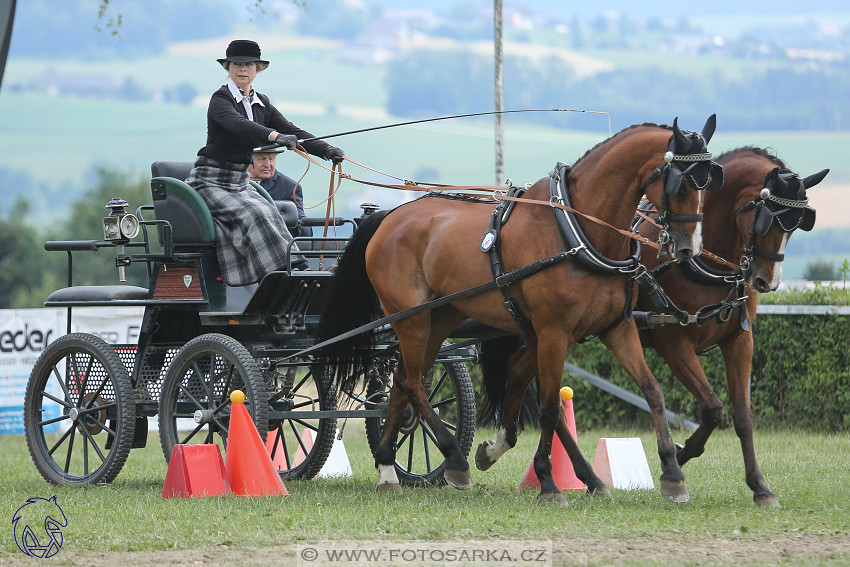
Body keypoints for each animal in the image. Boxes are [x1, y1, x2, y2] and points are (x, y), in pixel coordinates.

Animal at [318, 116, 724, 506]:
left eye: (709, 184)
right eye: (680, 185)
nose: (689, 249)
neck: (578, 231)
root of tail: (388, 216)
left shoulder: (615, 328)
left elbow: (652, 391)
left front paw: (672, 472)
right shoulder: (552, 333)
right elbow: (549, 409)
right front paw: (548, 482)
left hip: (440, 318)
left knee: (403, 379)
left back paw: (388, 469)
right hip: (411, 319)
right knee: (415, 382)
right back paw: (454, 460)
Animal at [632, 146, 824, 506]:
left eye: (797, 226)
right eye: (766, 220)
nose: (766, 281)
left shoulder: (739, 341)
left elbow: (743, 416)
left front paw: (759, 485)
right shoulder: (673, 344)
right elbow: (712, 407)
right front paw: (679, 456)